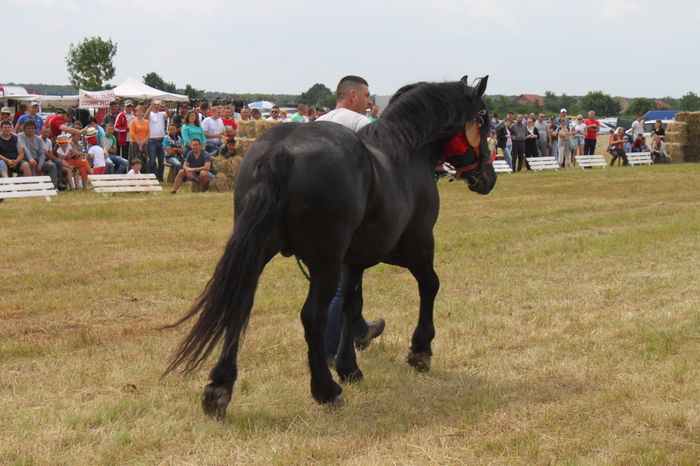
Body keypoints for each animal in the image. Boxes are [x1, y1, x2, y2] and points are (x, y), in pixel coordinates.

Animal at [165, 75, 497, 419]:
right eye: (484, 119)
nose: (488, 177)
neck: (405, 154)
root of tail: (282, 148)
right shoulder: (418, 244)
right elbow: (430, 285)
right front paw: (420, 350)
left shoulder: (352, 261)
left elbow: (351, 305)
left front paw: (349, 366)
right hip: (324, 262)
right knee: (312, 315)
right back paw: (325, 389)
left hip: (260, 251)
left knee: (240, 304)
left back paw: (220, 387)